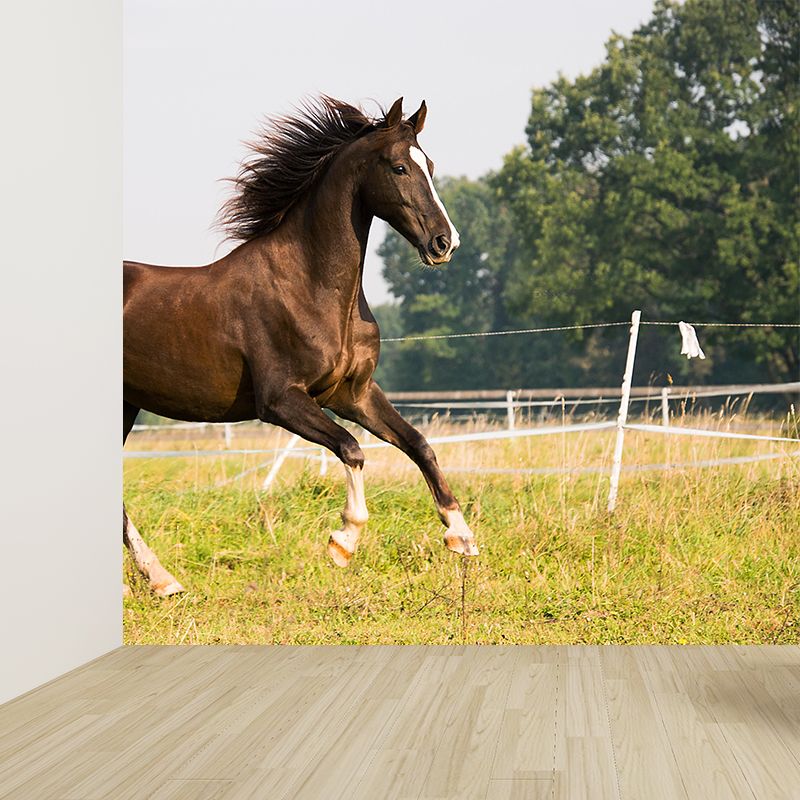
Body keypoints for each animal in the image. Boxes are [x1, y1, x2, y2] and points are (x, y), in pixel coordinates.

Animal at [123, 97, 479, 596]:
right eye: (399, 167)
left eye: (429, 165)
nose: (445, 243)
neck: (310, 287)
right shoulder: (281, 401)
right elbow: (352, 448)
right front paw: (343, 541)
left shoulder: (353, 394)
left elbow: (419, 444)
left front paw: (461, 535)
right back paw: (160, 578)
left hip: (126, 405)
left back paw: (161, 580)